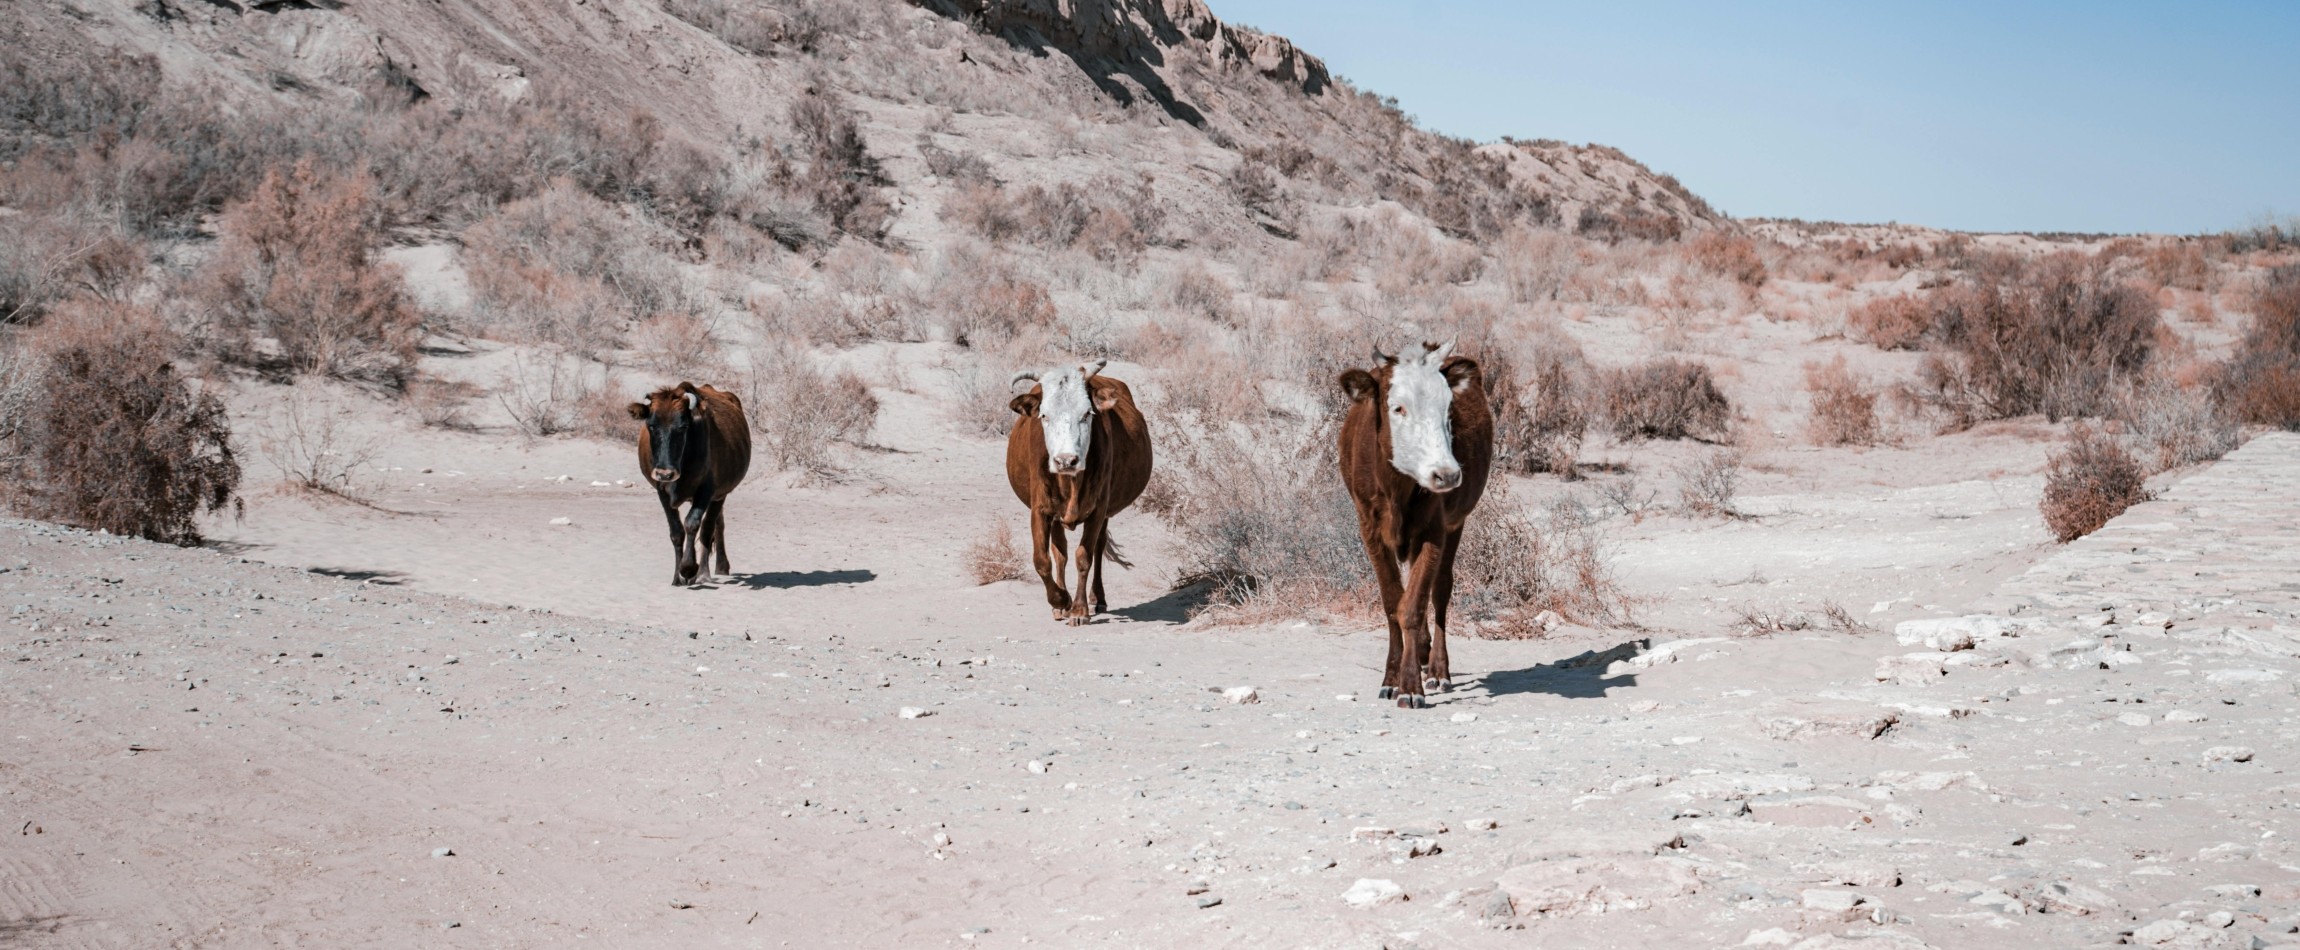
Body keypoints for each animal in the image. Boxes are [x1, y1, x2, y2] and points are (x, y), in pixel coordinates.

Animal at [627, 382, 752, 587]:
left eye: (683, 427)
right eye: (651, 425)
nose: (665, 473)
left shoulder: (707, 491)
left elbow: (693, 525)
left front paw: (688, 568)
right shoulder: (662, 491)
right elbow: (677, 532)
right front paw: (677, 577)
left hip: (720, 494)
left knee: (710, 526)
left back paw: (709, 570)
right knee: (717, 522)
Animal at [1005, 359, 1153, 625]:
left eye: (1087, 413)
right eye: (1044, 415)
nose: (1066, 460)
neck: (1070, 482)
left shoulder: (1098, 510)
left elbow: (1084, 556)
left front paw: (1079, 609)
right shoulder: (1040, 509)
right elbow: (1042, 560)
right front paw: (1060, 600)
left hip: (1105, 513)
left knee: (1098, 548)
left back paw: (1098, 598)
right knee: (1060, 553)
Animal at [1337, 340, 1494, 708]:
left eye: (1448, 409)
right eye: (1398, 408)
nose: (1446, 474)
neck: (1397, 486)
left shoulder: (1434, 530)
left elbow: (1414, 604)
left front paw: (1410, 685)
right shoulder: (1369, 529)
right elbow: (1393, 603)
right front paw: (1391, 679)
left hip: (1456, 522)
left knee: (1440, 590)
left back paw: (1436, 668)